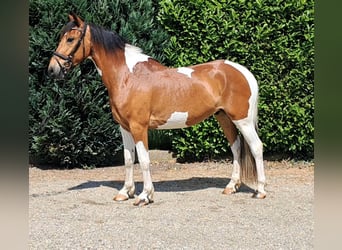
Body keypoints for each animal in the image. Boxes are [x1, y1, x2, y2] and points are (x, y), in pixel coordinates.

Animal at [48, 12, 268, 206]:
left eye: (70, 39)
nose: (53, 69)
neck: (127, 77)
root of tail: (242, 71)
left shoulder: (139, 127)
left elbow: (144, 160)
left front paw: (144, 196)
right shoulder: (124, 127)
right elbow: (128, 159)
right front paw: (124, 192)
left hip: (242, 120)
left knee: (256, 147)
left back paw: (260, 191)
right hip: (224, 118)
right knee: (236, 147)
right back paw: (231, 186)